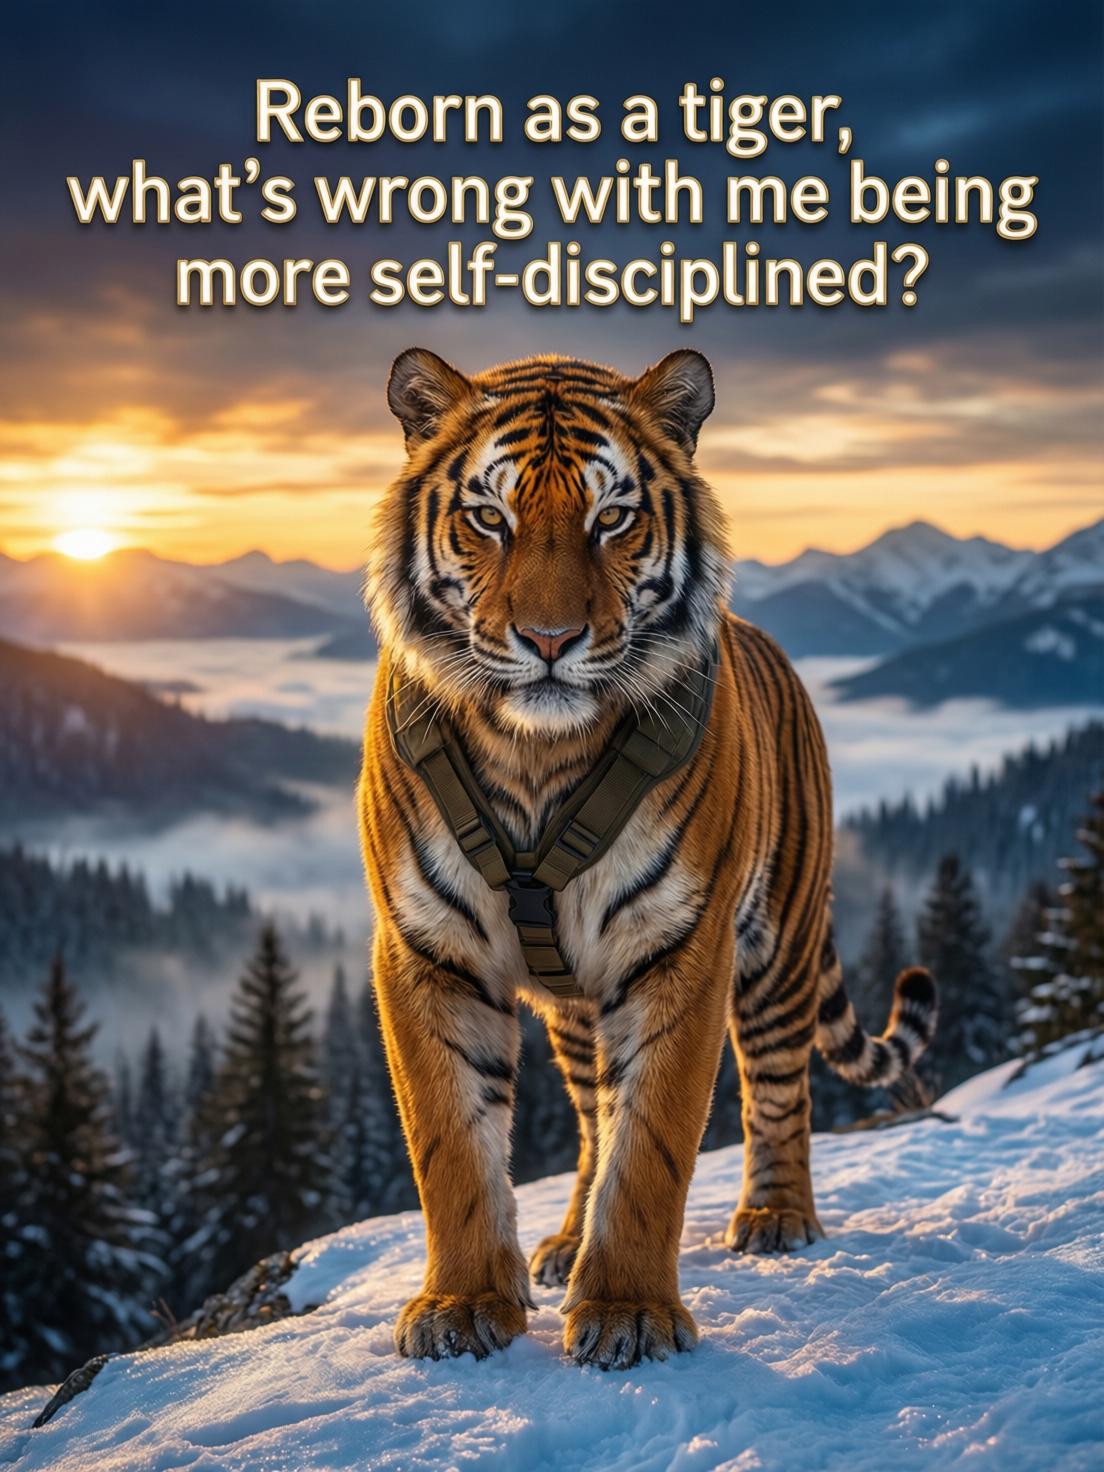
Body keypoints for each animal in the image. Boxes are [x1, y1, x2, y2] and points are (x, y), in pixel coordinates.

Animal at [358, 347, 937, 1371]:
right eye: (490, 518)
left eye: (613, 518)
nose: (550, 641)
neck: (536, 754)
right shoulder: (426, 948)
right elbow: (452, 1142)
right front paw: (463, 1304)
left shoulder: (681, 945)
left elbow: (654, 1144)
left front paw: (627, 1311)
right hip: (575, 1010)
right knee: (593, 1118)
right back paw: (563, 1242)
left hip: (779, 949)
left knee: (778, 1092)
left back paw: (777, 1218)